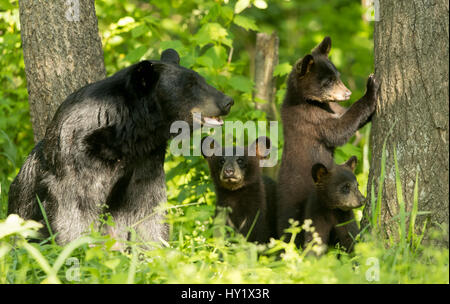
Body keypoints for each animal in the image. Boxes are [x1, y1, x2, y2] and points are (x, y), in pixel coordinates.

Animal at [8, 48, 234, 246]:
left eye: (201, 80)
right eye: (191, 84)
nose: (227, 101)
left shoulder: (146, 159)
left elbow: (148, 209)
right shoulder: (75, 157)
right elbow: (73, 207)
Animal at [276, 36, 378, 239]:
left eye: (337, 76)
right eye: (328, 81)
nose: (347, 93)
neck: (312, 102)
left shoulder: (331, 108)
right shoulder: (311, 119)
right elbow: (339, 130)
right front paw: (370, 89)